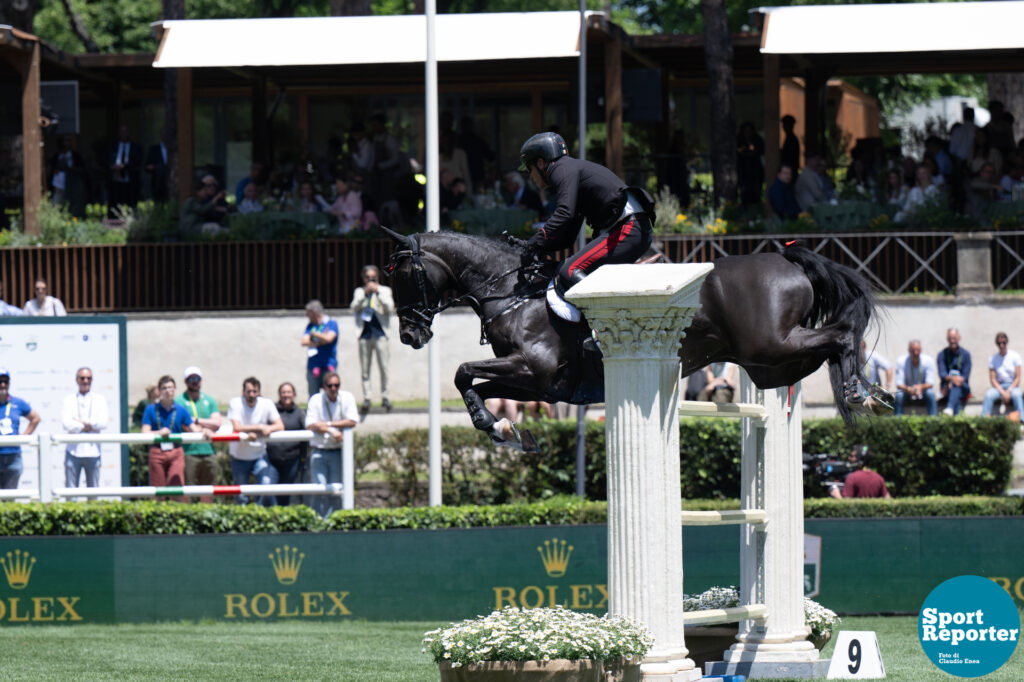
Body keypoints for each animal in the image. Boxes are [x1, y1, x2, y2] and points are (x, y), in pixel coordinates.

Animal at [385, 228, 888, 448]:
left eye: (403, 277)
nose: (409, 334)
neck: (511, 293)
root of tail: (787, 258)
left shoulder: (534, 369)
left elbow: (460, 371)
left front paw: (493, 425)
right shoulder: (541, 384)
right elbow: (475, 383)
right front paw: (500, 427)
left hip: (770, 346)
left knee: (841, 335)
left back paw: (857, 392)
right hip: (768, 361)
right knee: (828, 346)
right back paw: (868, 392)